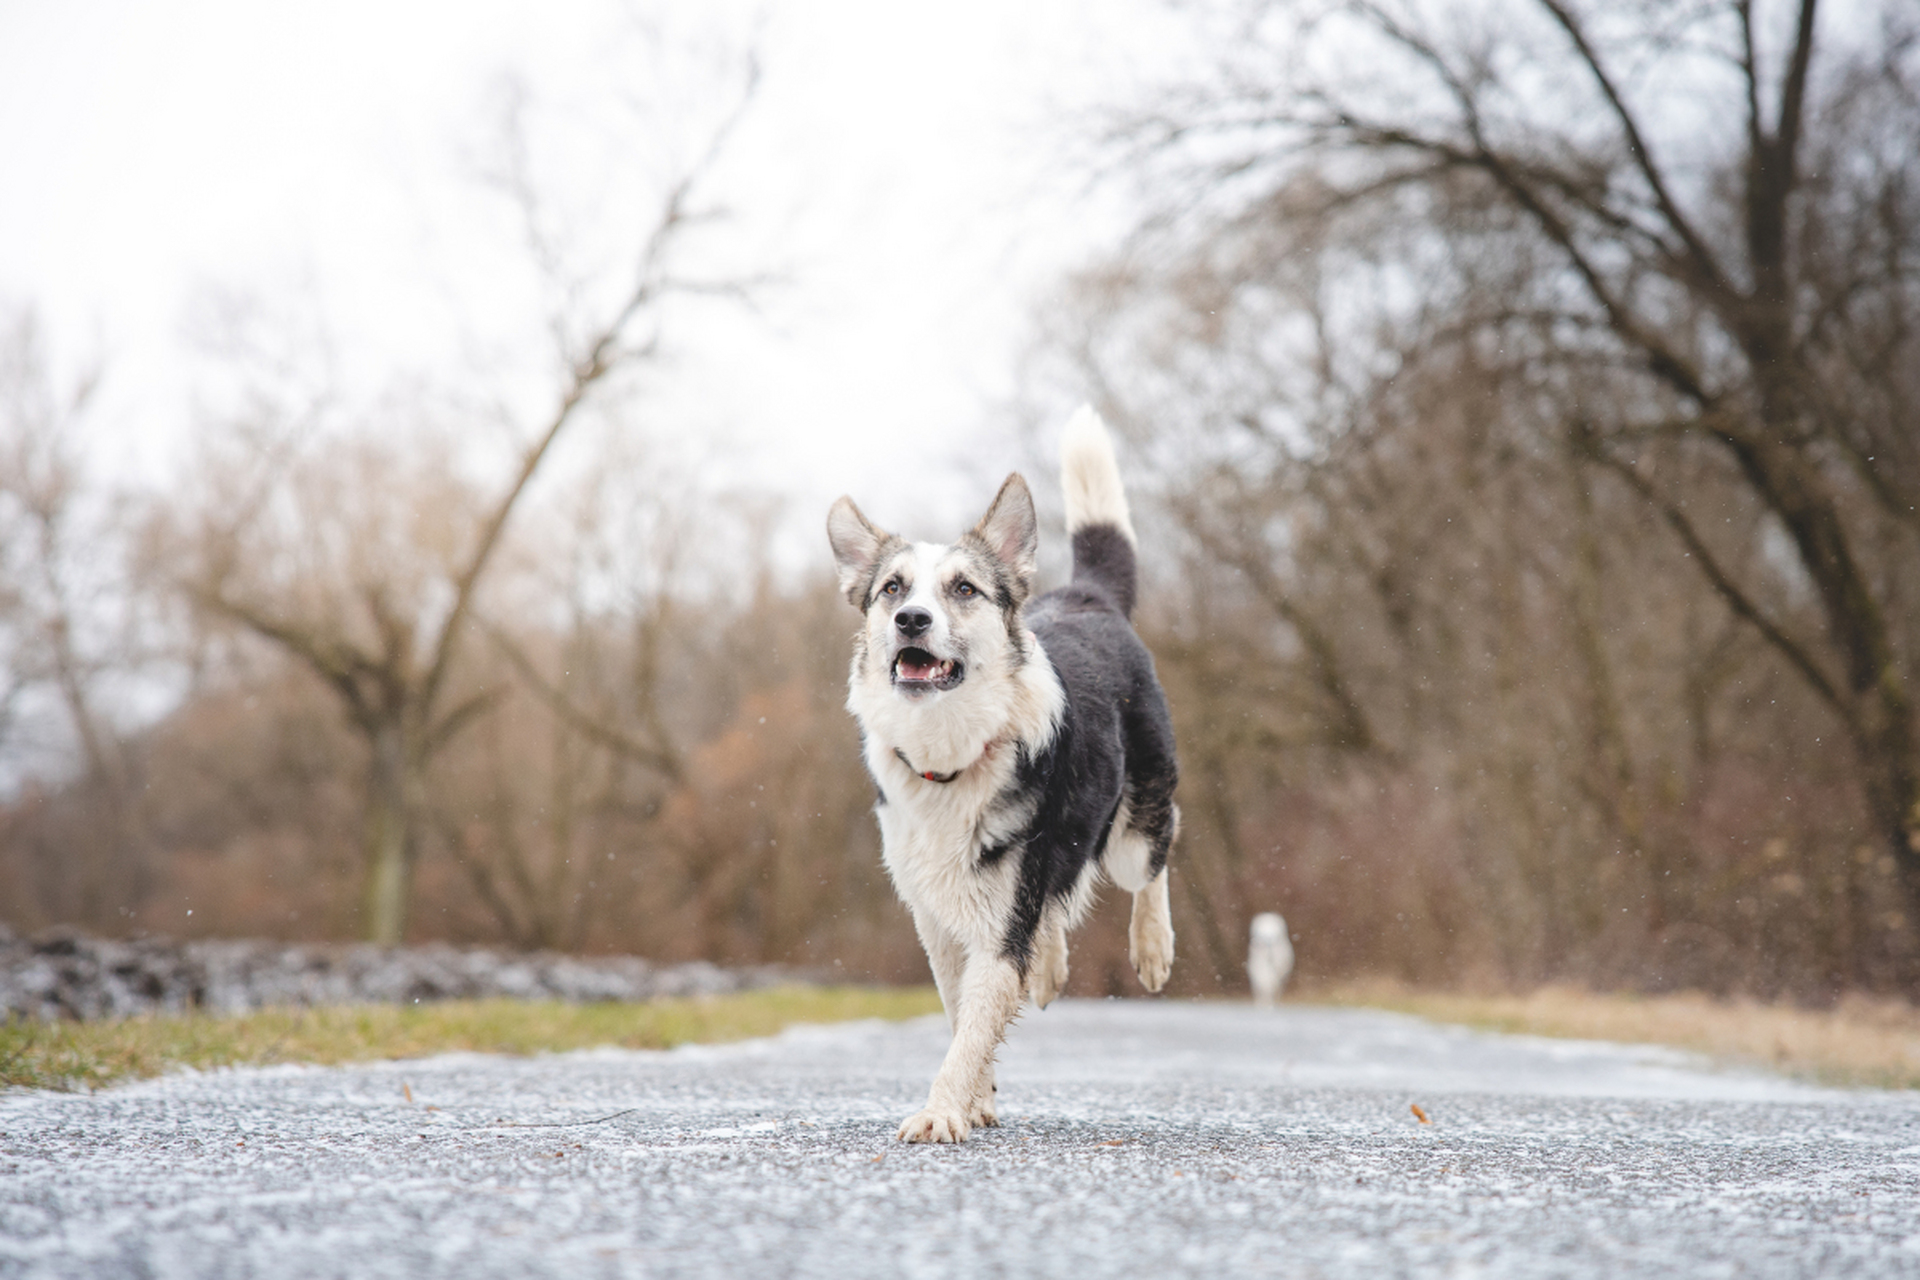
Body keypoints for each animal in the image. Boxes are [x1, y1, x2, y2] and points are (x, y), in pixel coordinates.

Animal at [829, 404, 1175, 1143]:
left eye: (964, 589)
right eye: (892, 589)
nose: (911, 619)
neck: (950, 756)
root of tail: (1087, 595)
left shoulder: (998, 925)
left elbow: (970, 1028)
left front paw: (941, 1112)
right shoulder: (938, 922)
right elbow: (963, 1015)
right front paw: (976, 1099)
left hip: (1134, 826)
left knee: (1154, 855)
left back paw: (1153, 945)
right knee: (1055, 910)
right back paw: (1048, 970)